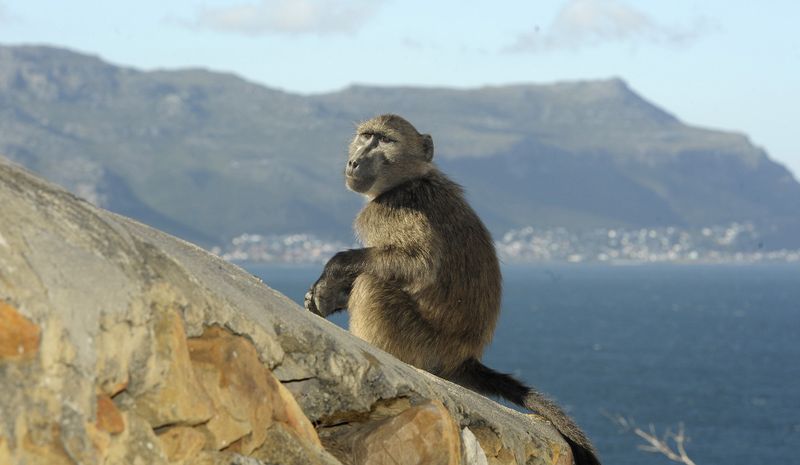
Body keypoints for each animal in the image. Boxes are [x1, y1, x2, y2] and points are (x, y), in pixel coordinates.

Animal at [304, 114, 600, 465]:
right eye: (365, 137)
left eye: (385, 140)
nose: (354, 161)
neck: (410, 179)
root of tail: (462, 359)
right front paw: (328, 293)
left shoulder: (392, 210)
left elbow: (417, 264)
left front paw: (332, 273)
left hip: (421, 344)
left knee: (372, 284)